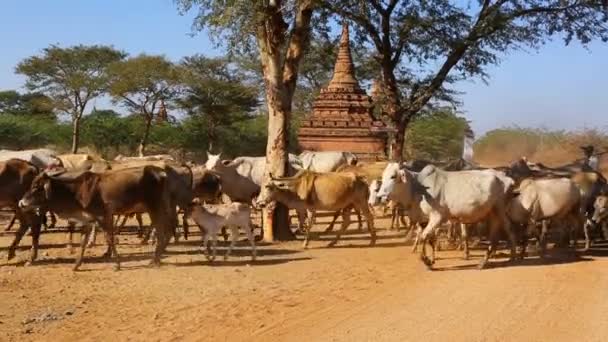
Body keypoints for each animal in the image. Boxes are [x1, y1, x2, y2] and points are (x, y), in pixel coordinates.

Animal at [17, 166, 175, 270]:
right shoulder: (88, 220)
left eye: (36, 187)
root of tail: (161, 172)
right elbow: (83, 242)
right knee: (167, 231)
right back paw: (157, 258)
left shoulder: (103, 216)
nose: (21, 203)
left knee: (163, 233)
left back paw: (155, 260)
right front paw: (76, 265)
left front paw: (117, 264)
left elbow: (110, 238)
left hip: (155, 208)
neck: (76, 192)